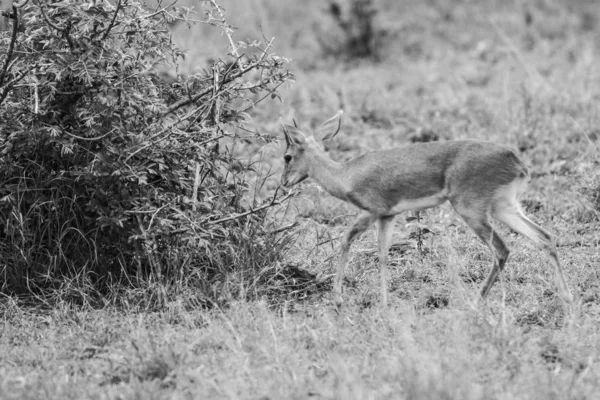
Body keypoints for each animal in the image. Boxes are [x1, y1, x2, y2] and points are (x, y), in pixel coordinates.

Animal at [280, 111, 572, 308]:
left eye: (287, 156)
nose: (283, 183)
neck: (345, 174)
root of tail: (515, 160)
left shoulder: (371, 212)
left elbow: (345, 240)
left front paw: (339, 298)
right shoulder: (388, 216)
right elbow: (383, 255)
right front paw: (384, 302)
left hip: (471, 211)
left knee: (502, 250)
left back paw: (474, 301)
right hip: (504, 207)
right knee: (545, 237)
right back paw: (567, 298)